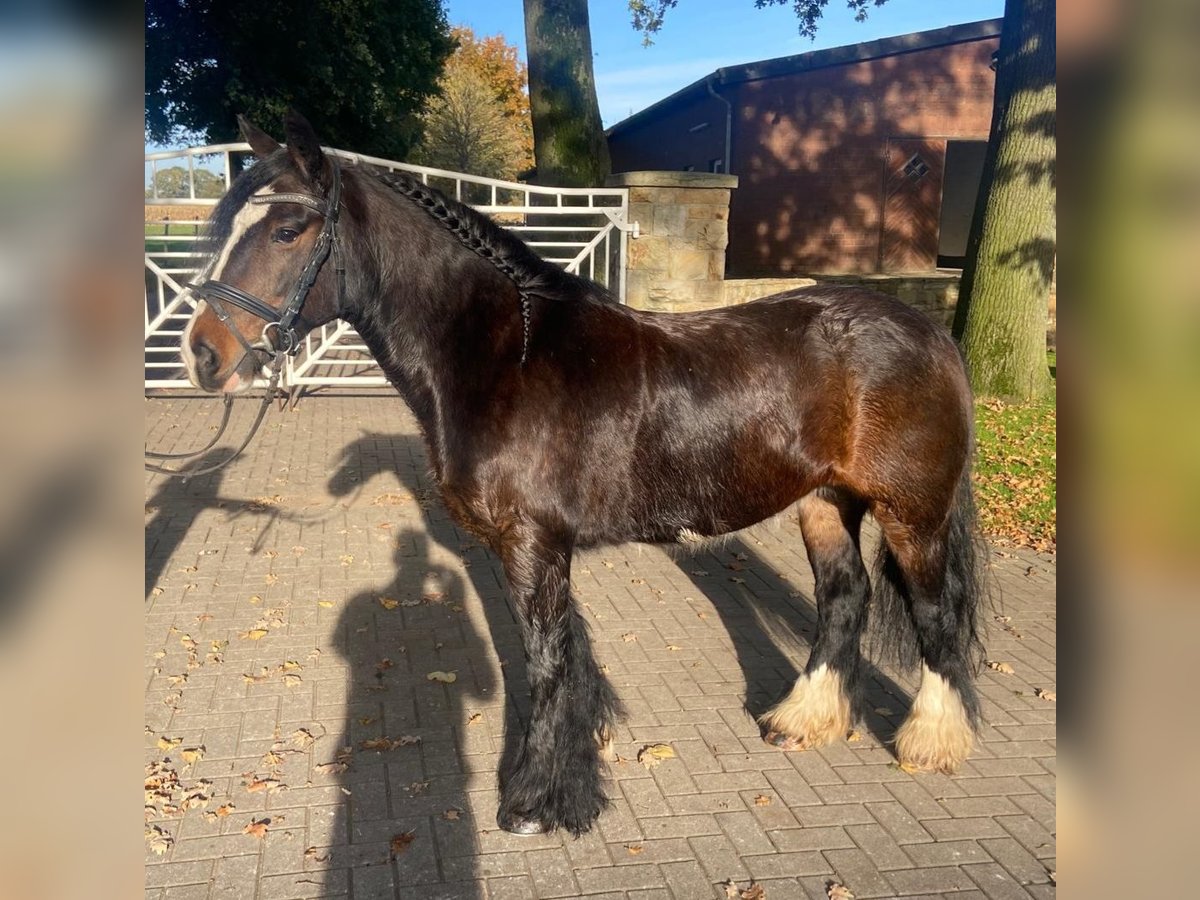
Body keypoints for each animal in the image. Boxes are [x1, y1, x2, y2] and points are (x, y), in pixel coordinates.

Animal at [177, 112, 984, 840]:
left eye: (288, 229)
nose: (204, 357)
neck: (506, 357)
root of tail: (929, 333)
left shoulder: (533, 543)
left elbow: (543, 666)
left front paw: (534, 803)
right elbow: (565, 661)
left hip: (913, 514)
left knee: (933, 615)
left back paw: (932, 742)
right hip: (823, 503)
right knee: (844, 599)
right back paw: (801, 719)